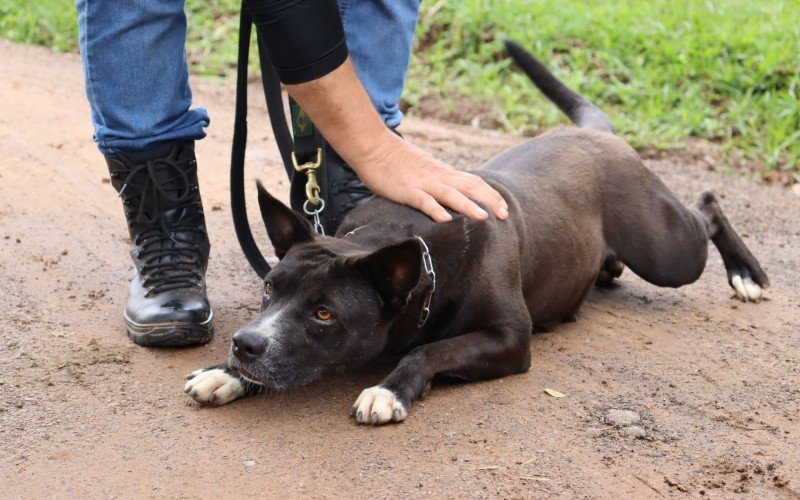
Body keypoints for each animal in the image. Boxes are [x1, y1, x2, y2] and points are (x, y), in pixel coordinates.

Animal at [184, 41, 764, 426]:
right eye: (269, 289)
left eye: (324, 313)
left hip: (668, 252)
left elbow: (429, 352)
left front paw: (389, 390)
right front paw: (226, 373)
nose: (245, 344)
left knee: (707, 206)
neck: (396, 242)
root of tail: (598, 134)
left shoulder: (509, 339)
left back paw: (747, 274)